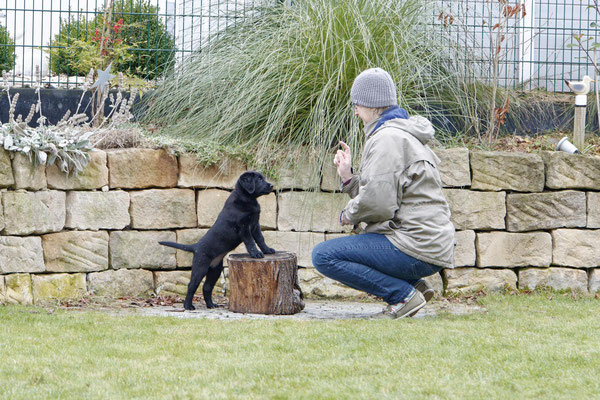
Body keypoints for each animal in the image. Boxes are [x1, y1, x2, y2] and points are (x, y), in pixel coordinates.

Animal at [157, 170, 274, 310]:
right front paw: (256, 254)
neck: (247, 199)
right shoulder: (244, 228)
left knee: (207, 287)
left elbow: (261, 239)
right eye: (259, 179)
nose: (272, 186)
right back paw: (188, 306)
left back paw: (211, 304)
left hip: (215, 270)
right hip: (200, 266)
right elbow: (250, 242)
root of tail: (195, 246)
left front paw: (268, 250)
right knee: (192, 285)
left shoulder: (255, 225)